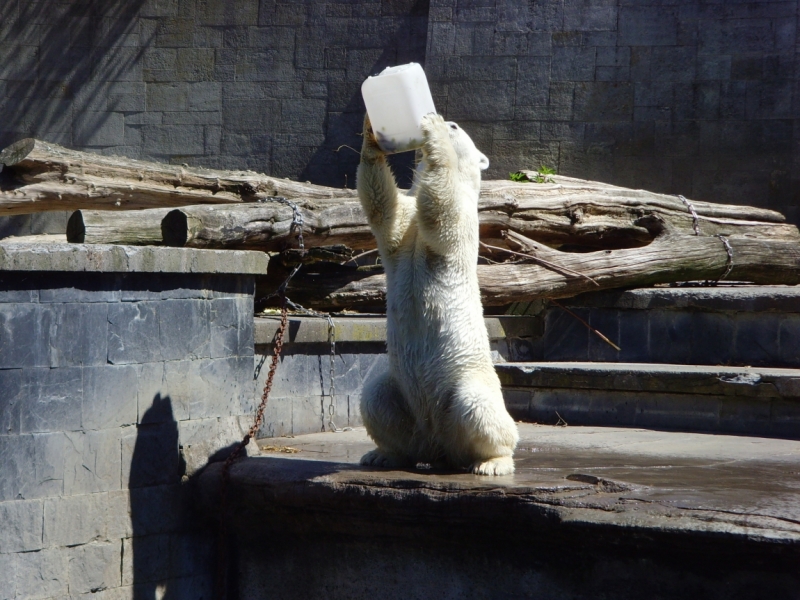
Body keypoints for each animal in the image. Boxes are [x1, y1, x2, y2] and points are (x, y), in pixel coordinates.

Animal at [354, 112, 520, 476]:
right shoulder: (405, 231)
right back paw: (383, 455)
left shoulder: (467, 221)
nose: (450, 122)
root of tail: (439, 446)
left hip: (468, 380)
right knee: (376, 396)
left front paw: (433, 130)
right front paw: (371, 135)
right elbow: (384, 209)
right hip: (401, 393)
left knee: (482, 409)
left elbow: (443, 213)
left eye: (457, 127)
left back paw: (492, 462)